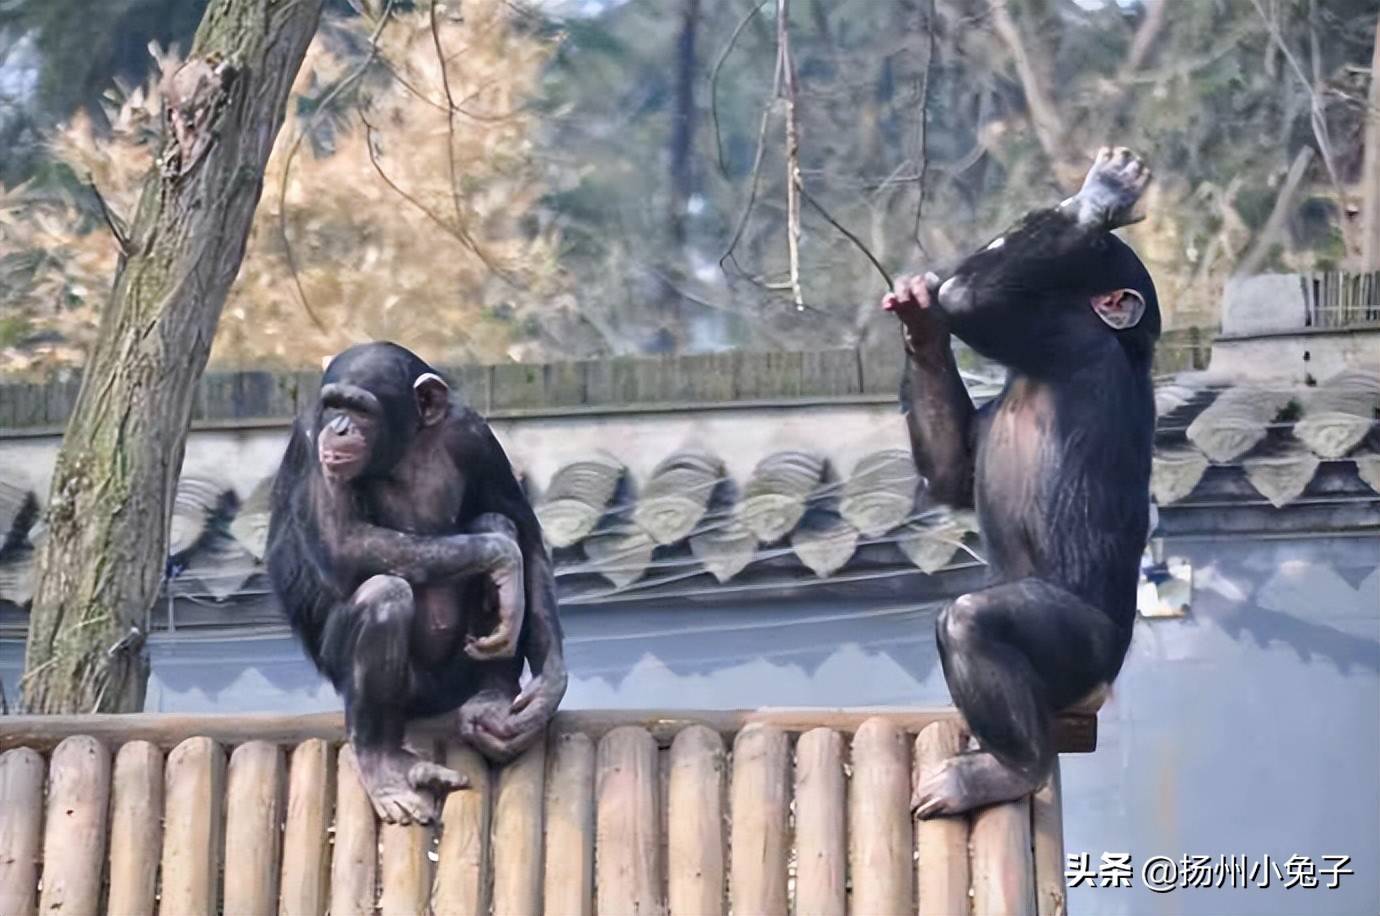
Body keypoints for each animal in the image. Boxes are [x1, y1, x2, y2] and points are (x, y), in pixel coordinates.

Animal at [263, 342, 565, 822]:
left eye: (360, 409)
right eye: (334, 406)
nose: (340, 429)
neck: (404, 447)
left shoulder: (475, 435)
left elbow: (527, 536)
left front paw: (547, 690)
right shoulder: (313, 440)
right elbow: (343, 542)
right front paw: (501, 560)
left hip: (456, 682)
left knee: (495, 520)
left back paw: (494, 697)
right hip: (403, 687)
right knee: (384, 596)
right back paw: (382, 764)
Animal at [877, 148, 1159, 816]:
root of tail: (1103, 686)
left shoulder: (1062, 336)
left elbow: (973, 299)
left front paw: (1096, 200)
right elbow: (952, 475)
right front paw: (922, 319)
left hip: (1082, 650)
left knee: (972, 622)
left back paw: (1011, 771)